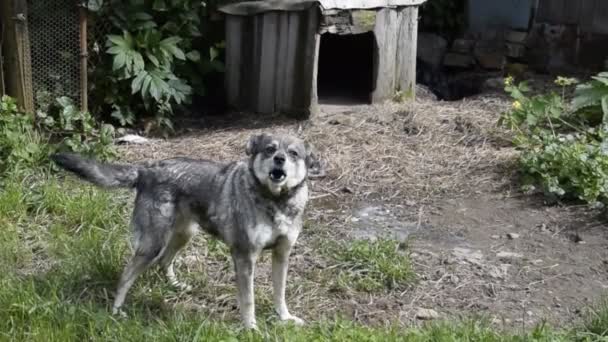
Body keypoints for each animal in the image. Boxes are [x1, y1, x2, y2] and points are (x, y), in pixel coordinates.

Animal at [51, 133, 318, 328]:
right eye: (270, 150)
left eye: (293, 153)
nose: (280, 159)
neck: (276, 201)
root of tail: (147, 169)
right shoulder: (244, 256)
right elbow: (248, 300)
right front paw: (251, 328)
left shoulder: (282, 255)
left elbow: (280, 293)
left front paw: (285, 318)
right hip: (152, 244)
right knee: (126, 276)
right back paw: (117, 311)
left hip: (184, 235)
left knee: (165, 262)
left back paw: (175, 286)